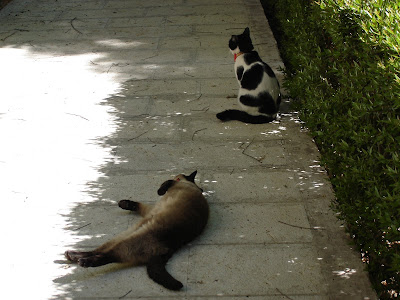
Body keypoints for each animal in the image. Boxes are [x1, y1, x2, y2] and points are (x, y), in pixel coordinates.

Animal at [64, 171, 208, 290]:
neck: (188, 184)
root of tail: (168, 249)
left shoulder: (168, 188)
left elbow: (165, 184)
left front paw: (160, 190)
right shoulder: (149, 210)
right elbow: (137, 205)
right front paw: (123, 203)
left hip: (130, 241)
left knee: (108, 255)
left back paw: (84, 262)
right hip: (126, 234)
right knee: (98, 250)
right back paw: (72, 255)